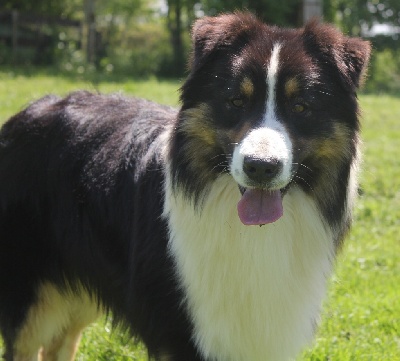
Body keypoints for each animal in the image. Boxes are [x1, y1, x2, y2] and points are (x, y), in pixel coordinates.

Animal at [0, 11, 370, 360]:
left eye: (301, 106)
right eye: (236, 101)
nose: (261, 167)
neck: (251, 231)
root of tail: (30, 109)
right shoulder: (184, 331)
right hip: (30, 291)